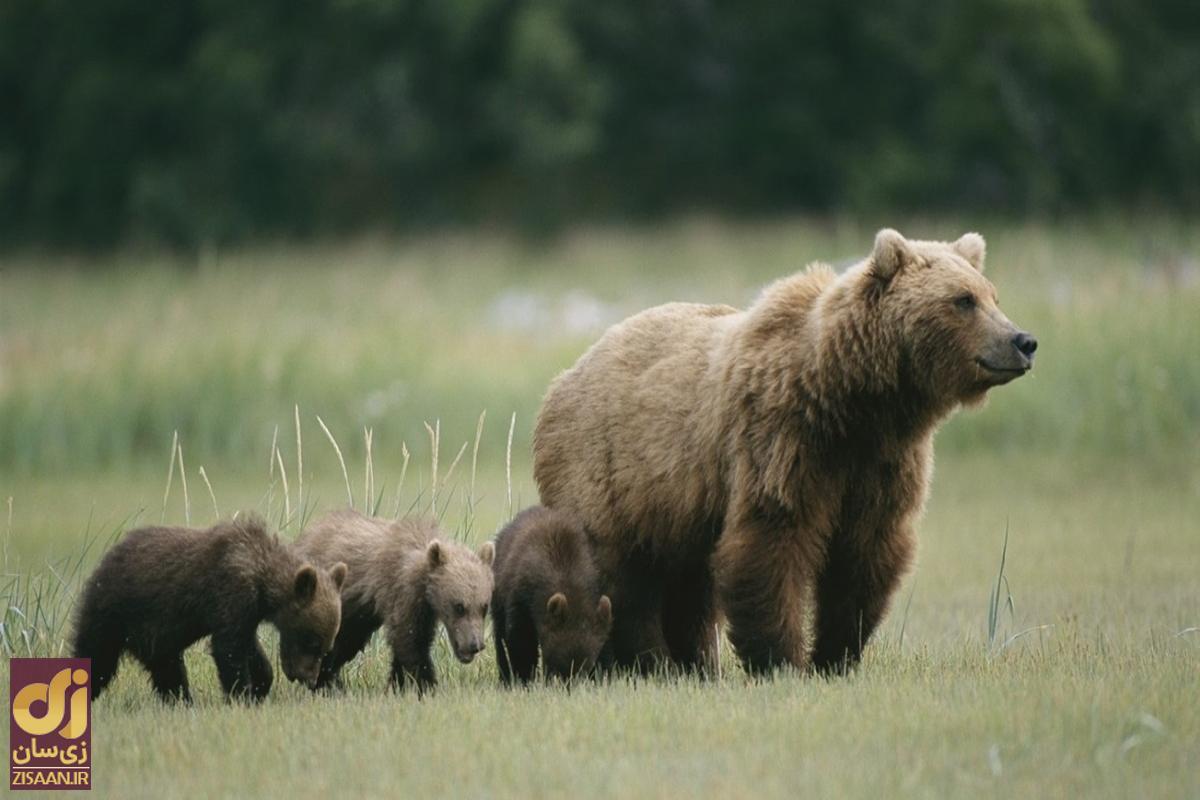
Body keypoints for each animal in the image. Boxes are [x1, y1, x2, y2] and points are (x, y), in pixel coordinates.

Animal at [530, 231, 1036, 676]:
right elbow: (772, 543)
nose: (1023, 341)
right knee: (622, 578)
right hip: (610, 474)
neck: (854, 402)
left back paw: (694, 664)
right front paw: (781, 660)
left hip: (678, 504)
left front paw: (836, 656)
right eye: (962, 300)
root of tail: (564, 377)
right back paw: (647, 661)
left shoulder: (882, 465)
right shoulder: (782, 441)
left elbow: (865, 556)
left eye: (993, 295)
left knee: (686, 585)